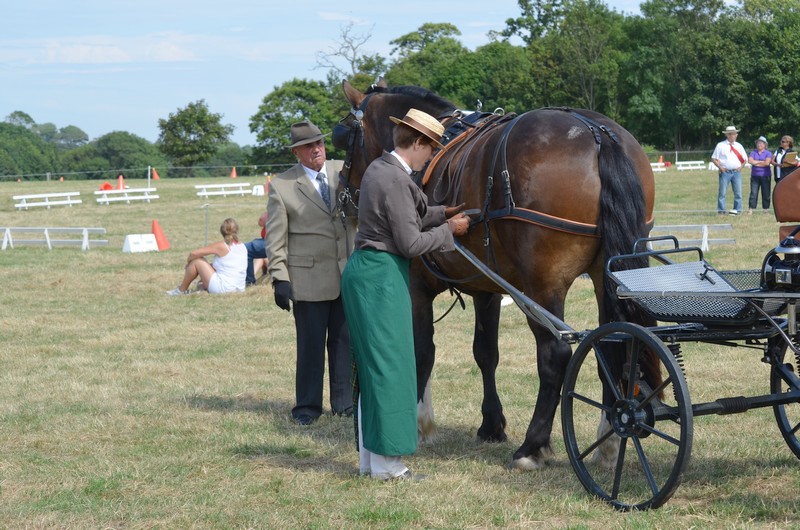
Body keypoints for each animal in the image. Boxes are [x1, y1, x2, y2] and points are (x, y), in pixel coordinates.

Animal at [334, 78, 660, 466]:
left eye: (343, 137)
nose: (341, 197)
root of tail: (596, 133)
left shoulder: (416, 286)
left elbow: (423, 350)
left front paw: (419, 424)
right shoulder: (486, 288)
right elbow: (485, 353)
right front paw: (491, 424)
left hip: (542, 285)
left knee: (555, 355)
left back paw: (532, 446)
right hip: (606, 274)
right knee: (616, 342)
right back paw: (610, 438)